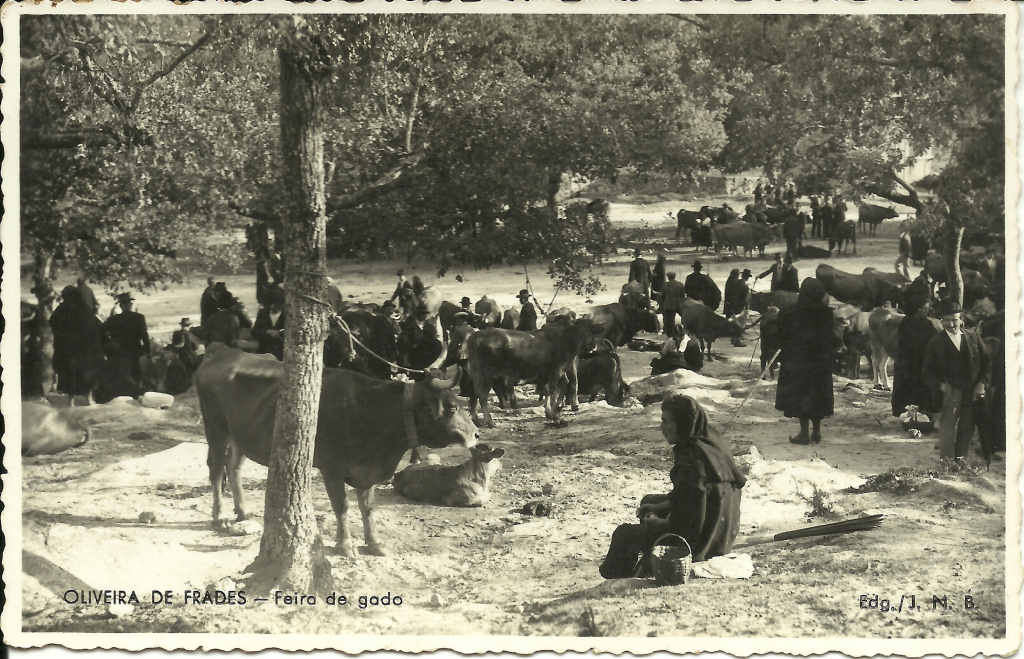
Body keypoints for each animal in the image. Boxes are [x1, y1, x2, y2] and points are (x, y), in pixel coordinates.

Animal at [194, 344, 478, 556]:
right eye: (452, 407)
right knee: (217, 468)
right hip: (216, 428)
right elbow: (342, 506)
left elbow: (368, 508)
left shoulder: (367, 470)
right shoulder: (331, 468)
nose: (476, 434)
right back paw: (219, 517)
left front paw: (374, 543)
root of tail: (223, 352)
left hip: (240, 434)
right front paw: (346, 545)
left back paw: (242, 511)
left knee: (233, 468)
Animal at [465, 319, 597, 428]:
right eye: (586, 332)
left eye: (592, 330)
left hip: (476, 376)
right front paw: (556, 416)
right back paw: (490, 422)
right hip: (486, 376)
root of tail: (475, 336)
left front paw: (551, 413)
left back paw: (476, 420)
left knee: (473, 395)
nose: (593, 346)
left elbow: (550, 391)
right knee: (482, 396)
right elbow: (554, 392)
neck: (564, 340)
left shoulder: (549, 375)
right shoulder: (556, 372)